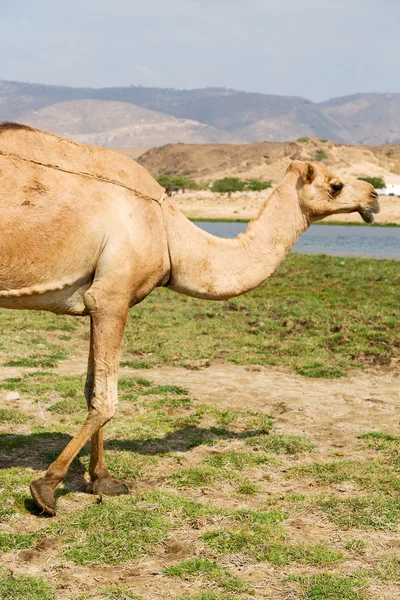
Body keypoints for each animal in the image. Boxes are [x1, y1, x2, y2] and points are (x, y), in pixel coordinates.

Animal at [0, 123, 382, 516]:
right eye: (335, 184)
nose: (374, 195)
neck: (169, 233)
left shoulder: (102, 300)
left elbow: (92, 389)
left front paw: (103, 480)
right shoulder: (111, 297)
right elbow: (106, 399)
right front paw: (46, 488)